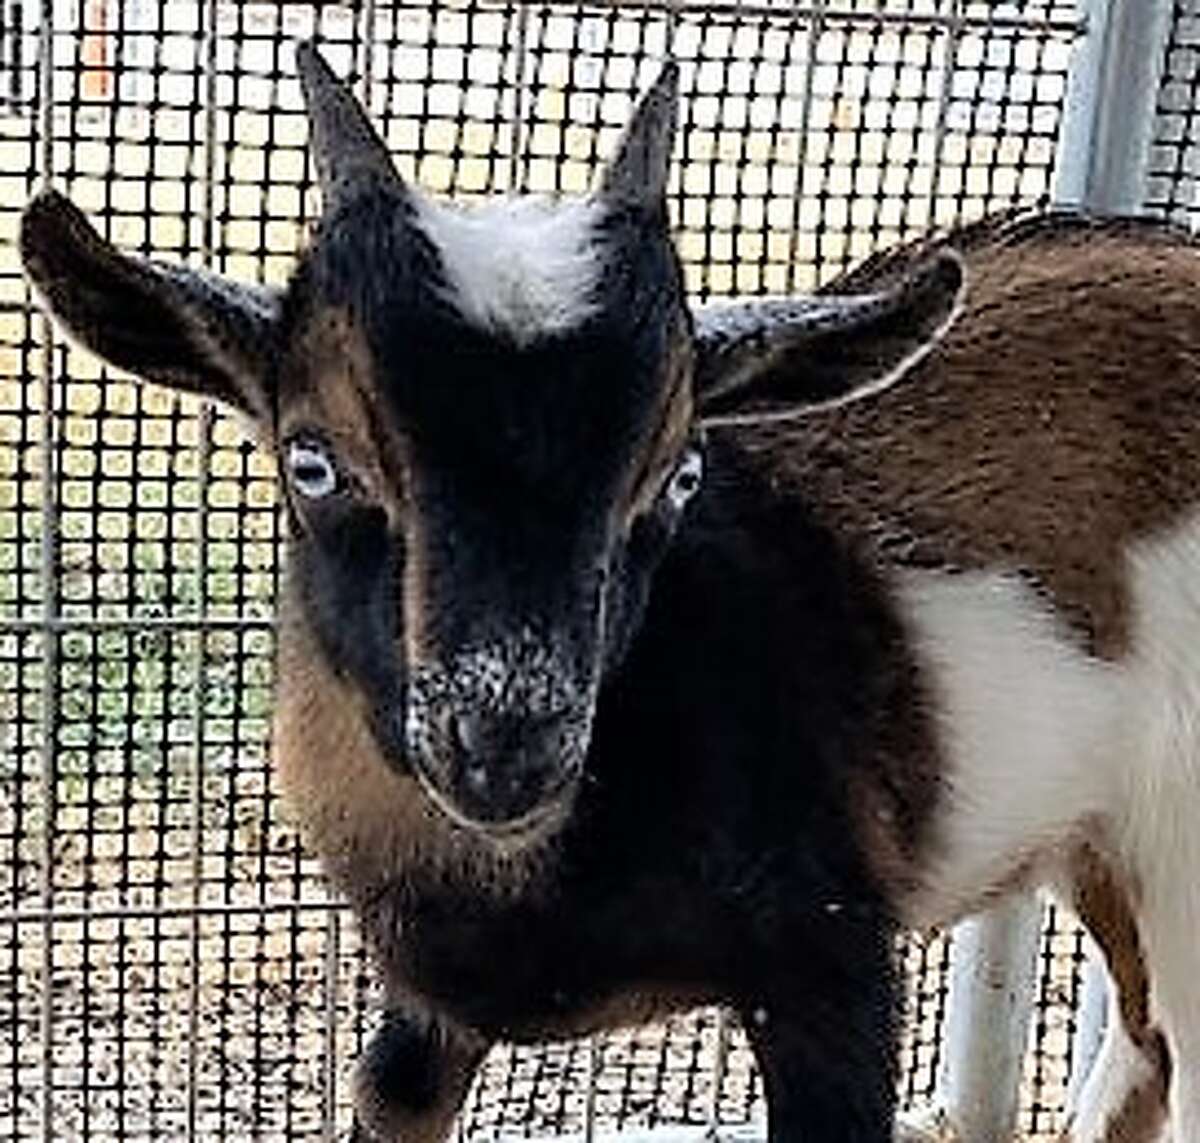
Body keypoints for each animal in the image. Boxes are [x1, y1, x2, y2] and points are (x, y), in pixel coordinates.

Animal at [20, 42, 1198, 1143]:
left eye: (677, 473)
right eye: (312, 462)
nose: (505, 750)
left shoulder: (831, 962)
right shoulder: (424, 1020)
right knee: (1147, 1047)